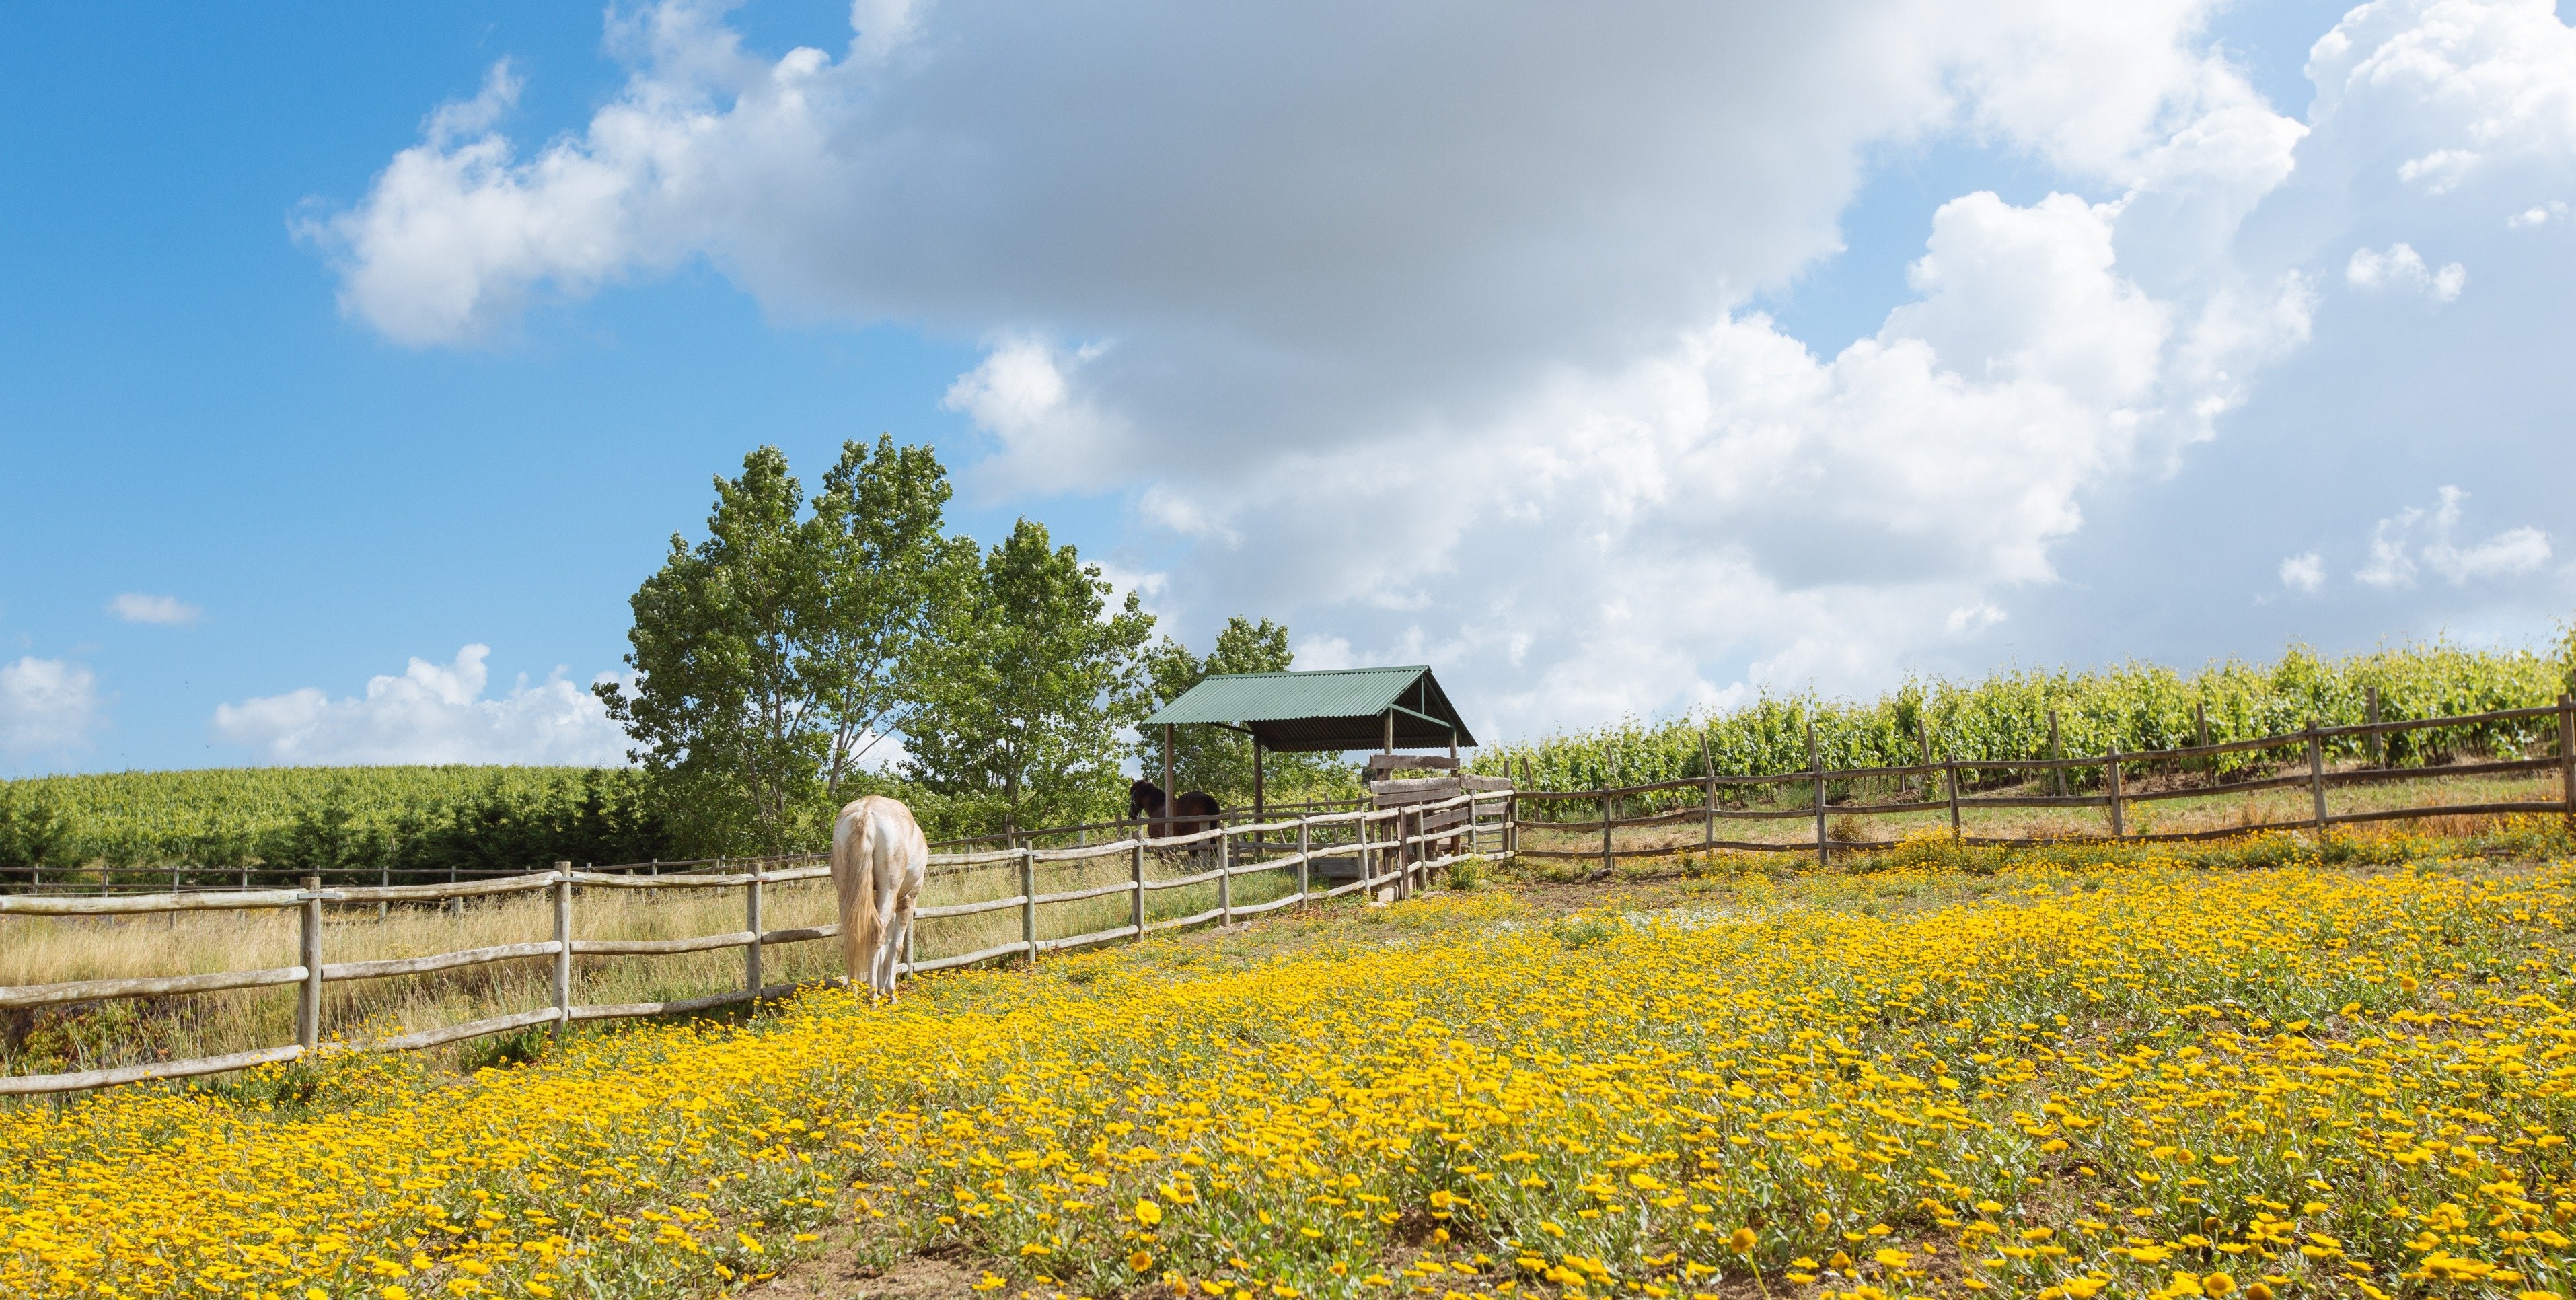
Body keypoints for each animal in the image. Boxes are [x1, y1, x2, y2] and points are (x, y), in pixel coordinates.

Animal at [829, 797, 932, 999]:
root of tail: (865, 813)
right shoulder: (907, 900)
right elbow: (895, 947)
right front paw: (890, 992)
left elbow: (885, 944)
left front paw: (883, 987)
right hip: (890, 892)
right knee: (877, 934)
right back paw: (873, 994)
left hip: (846, 893)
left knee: (853, 935)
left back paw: (855, 991)